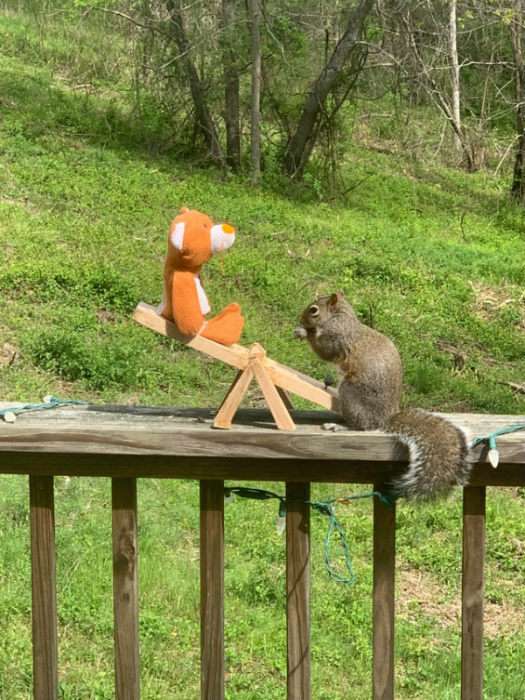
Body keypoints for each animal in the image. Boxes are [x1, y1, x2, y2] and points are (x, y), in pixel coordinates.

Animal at [294, 292, 470, 500]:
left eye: (314, 310)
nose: (300, 319)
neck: (339, 318)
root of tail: (385, 418)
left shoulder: (338, 337)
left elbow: (325, 351)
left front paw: (305, 333)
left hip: (351, 393)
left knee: (363, 427)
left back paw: (340, 426)